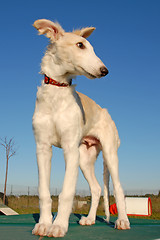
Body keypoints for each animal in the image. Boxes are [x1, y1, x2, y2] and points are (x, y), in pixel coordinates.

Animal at [32, 19, 130, 238]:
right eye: (80, 45)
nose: (105, 70)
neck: (57, 91)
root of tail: (105, 111)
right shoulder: (42, 148)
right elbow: (43, 192)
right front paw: (44, 224)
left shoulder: (70, 149)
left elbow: (67, 192)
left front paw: (58, 226)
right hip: (85, 158)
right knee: (96, 188)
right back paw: (91, 219)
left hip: (109, 153)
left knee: (119, 188)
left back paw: (123, 221)